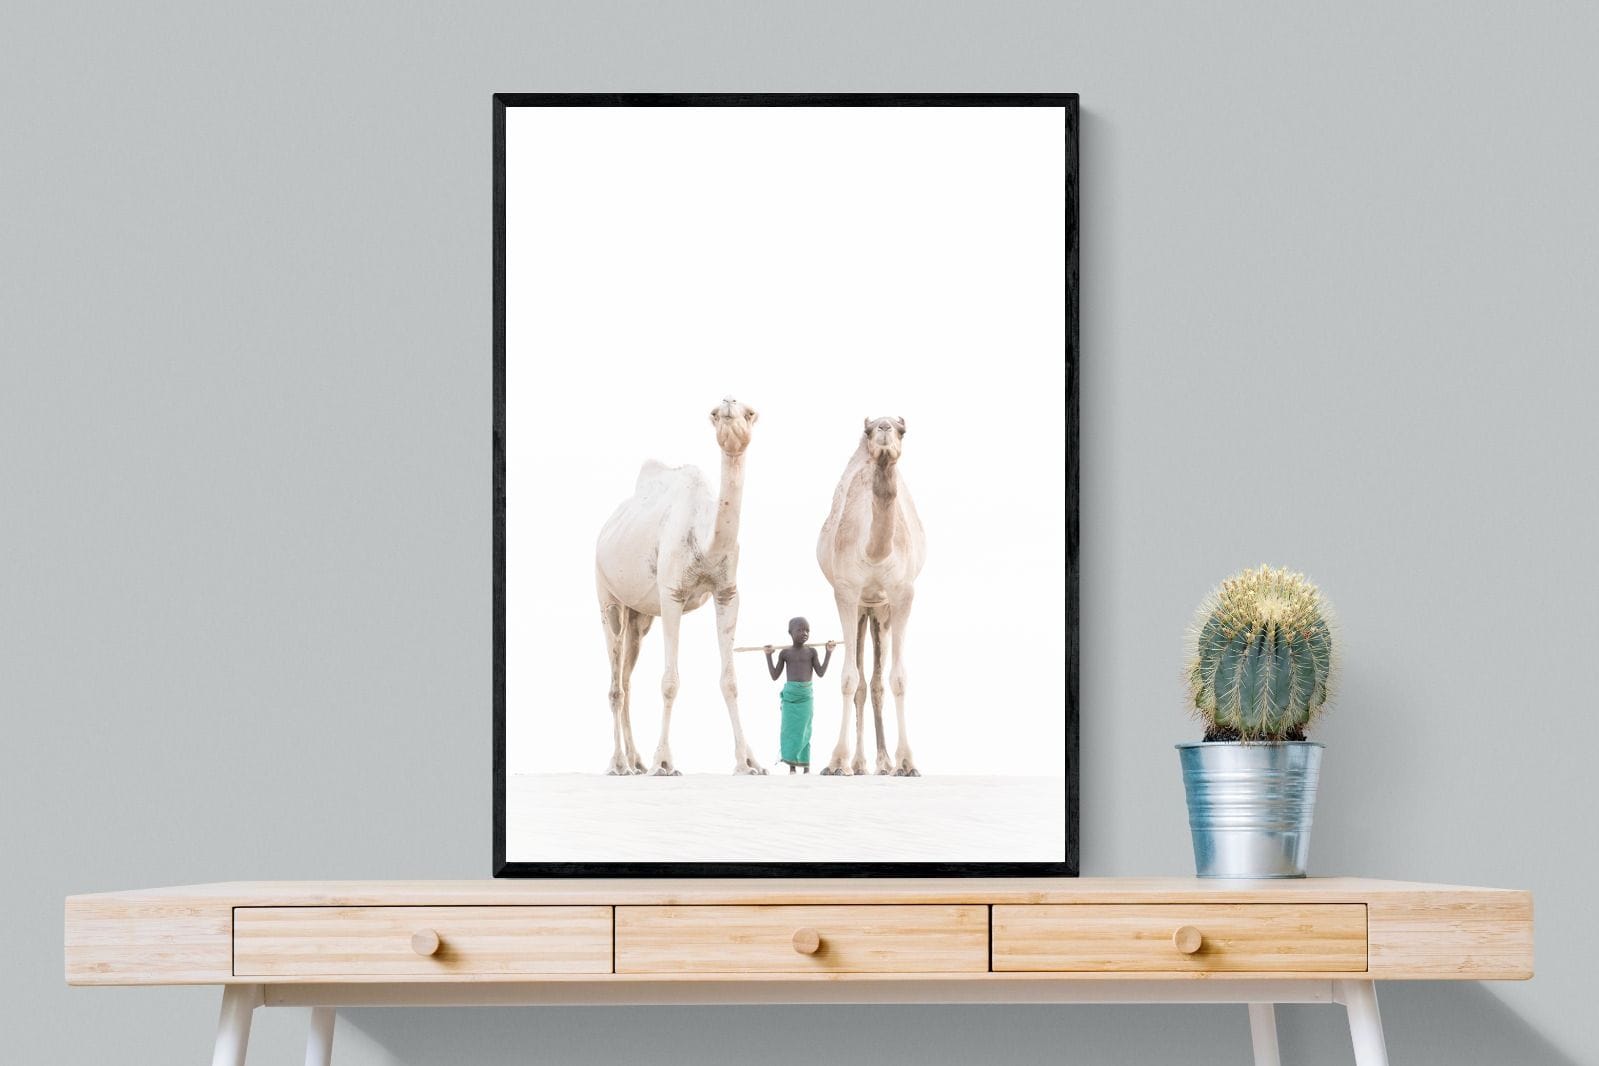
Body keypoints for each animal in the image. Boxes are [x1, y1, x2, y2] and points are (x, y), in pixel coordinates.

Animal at [594, 397, 766, 776]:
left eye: (750, 413)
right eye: (714, 414)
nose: (729, 402)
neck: (705, 540)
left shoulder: (728, 593)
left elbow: (730, 680)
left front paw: (748, 762)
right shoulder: (671, 593)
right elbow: (670, 682)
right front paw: (664, 761)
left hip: (641, 616)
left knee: (626, 678)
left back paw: (636, 761)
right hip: (607, 594)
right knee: (615, 683)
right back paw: (619, 764)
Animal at [816, 416, 927, 776]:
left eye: (903, 430)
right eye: (869, 430)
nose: (884, 429)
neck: (875, 553)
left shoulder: (902, 594)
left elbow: (898, 678)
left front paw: (906, 763)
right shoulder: (846, 593)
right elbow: (849, 679)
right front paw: (837, 762)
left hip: (881, 611)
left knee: (876, 683)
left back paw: (882, 762)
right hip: (864, 608)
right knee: (863, 683)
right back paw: (861, 762)